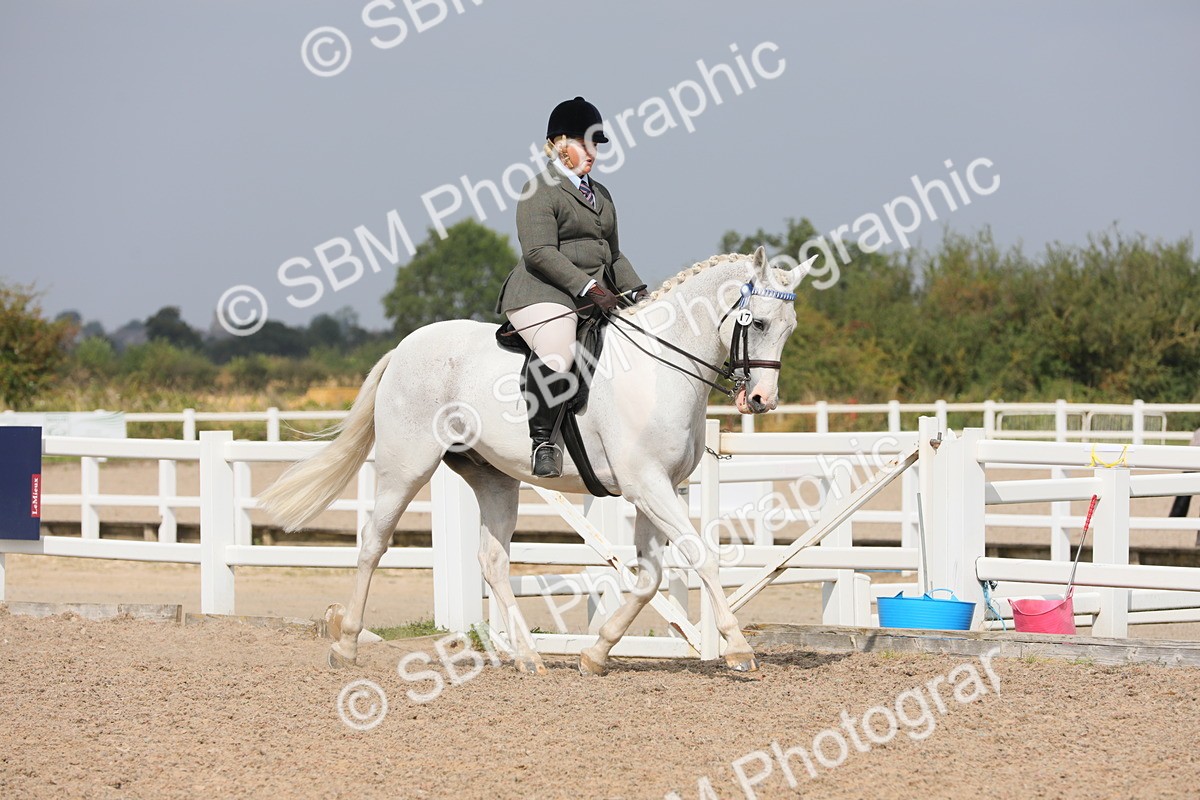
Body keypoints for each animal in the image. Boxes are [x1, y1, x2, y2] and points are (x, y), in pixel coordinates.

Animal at [259, 247, 806, 676]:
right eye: (757, 322)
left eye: (790, 329)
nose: (761, 400)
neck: (660, 368)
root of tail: (404, 348)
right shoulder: (647, 485)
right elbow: (702, 555)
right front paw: (738, 648)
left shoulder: (658, 487)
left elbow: (649, 577)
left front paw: (596, 653)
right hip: (405, 466)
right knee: (374, 542)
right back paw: (347, 644)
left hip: (494, 479)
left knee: (493, 561)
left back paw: (526, 656)